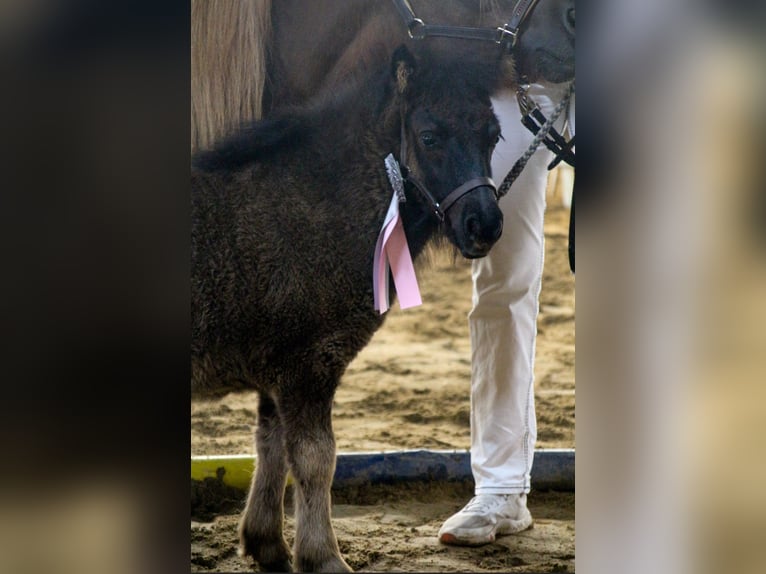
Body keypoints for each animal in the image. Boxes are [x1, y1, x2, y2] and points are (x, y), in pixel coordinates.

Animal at [190, 47, 504, 572]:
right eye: (429, 137)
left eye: (494, 135)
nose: (485, 224)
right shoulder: (308, 364)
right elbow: (316, 458)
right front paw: (323, 556)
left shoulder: (280, 369)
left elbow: (271, 445)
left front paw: (266, 543)